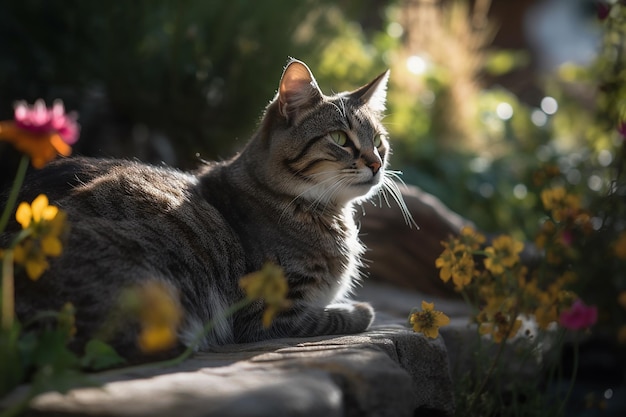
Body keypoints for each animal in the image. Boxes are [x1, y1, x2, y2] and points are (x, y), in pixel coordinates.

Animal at [4, 58, 410, 360]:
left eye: (379, 141)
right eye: (340, 138)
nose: (377, 163)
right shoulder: (266, 314)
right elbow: (343, 316)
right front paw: (359, 309)